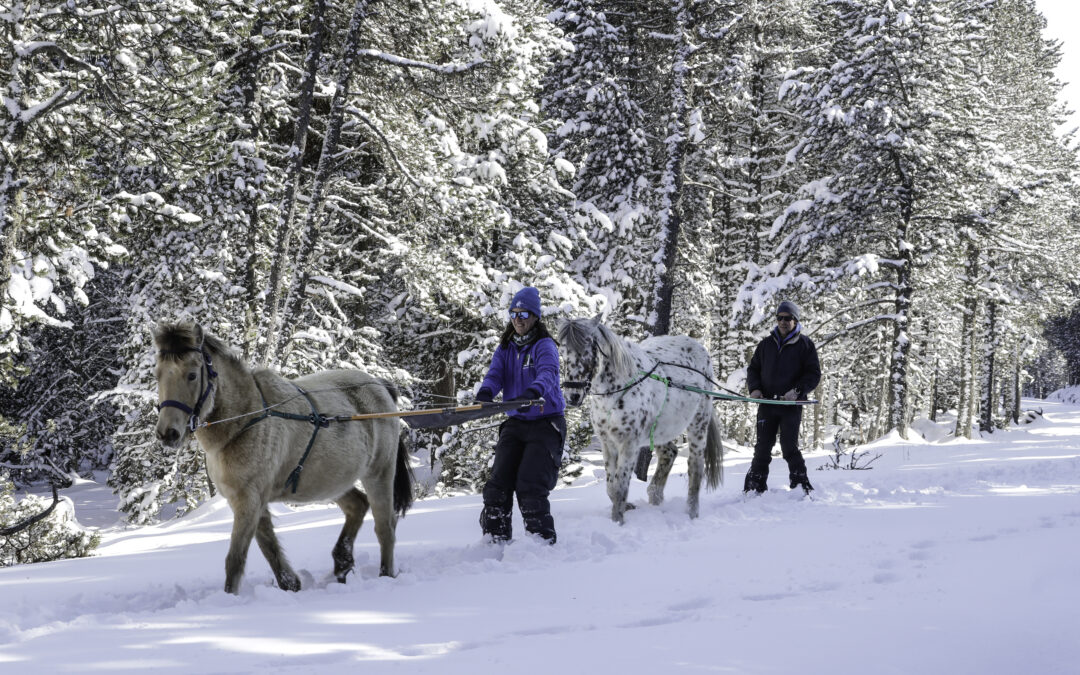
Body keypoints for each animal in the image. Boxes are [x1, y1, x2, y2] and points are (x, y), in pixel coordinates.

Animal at [152, 322, 413, 594]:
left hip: (379, 474)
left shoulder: (249, 500)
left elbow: (235, 559)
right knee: (358, 506)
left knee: (385, 528)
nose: (167, 433)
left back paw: (384, 575)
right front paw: (291, 585)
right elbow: (269, 549)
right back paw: (342, 562)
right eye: (157, 374)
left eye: (192, 375)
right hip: (330, 481)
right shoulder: (248, 500)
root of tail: (380, 385)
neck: (246, 419)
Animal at [557, 317, 723, 523]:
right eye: (562, 352)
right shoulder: (607, 443)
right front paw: (625, 509)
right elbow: (611, 487)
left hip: (698, 425)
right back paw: (655, 497)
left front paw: (617, 521)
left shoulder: (629, 444)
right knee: (670, 454)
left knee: (695, 468)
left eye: (588, 350)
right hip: (661, 430)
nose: (572, 396)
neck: (616, 393)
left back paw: (691, 513)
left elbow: (620, 487)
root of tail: (698, 346)